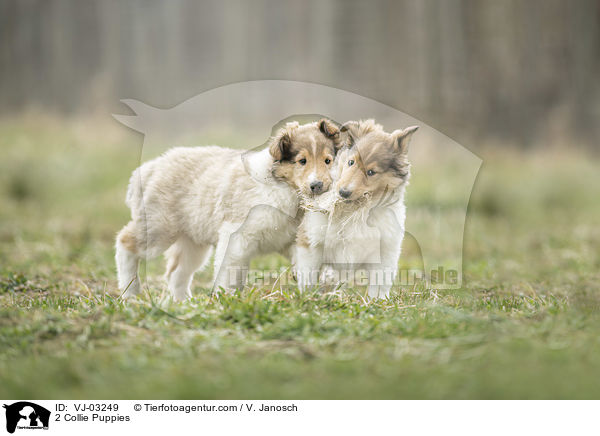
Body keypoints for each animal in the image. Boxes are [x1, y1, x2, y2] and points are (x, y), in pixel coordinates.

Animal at [115, 119, 340, 304]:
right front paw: (227, 298)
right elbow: (229, 272)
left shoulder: (295, 239)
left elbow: (307, 265)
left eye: (327, 160)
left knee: (177, 273)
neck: (286, 189)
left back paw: (185, 303)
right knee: (125, 242)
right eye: (302, 161)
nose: (317, 185)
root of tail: (149, 168)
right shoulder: (237, 235)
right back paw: (130, 294)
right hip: (159, 229)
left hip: (193, 242)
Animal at [294, 119, 418, 300]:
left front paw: (377, 303)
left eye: (371, 172)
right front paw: (306, 298)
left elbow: (379, 286)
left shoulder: (386, 253)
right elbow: (307, 276)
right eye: (351, 162)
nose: (343, 192)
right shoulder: (311, 244)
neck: (356, 210)